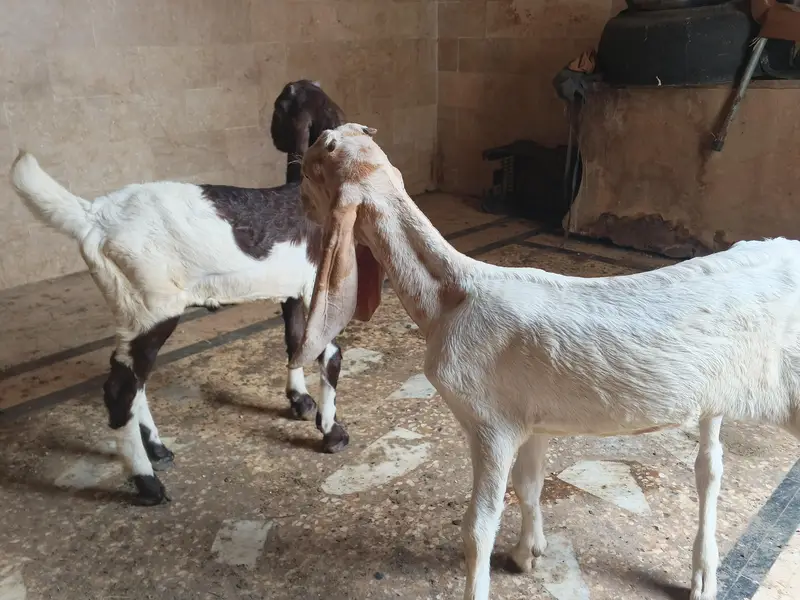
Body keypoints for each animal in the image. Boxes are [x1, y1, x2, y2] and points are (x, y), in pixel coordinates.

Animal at [8, 85, 351, 505]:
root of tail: (94, 216)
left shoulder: (293, 291)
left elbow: (295, 340)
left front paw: (300, 402)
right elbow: (330, 356)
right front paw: (332, 432)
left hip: (131, 307)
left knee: (132, 378)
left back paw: (156, 448)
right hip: (154, 306)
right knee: (121, 388)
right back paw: (147, 483)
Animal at [290, 123, 800, 600]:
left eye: (316, 166)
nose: (296, 194)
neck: (450, 298)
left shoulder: (490, 425)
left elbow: (478, 528)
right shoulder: (529, 417)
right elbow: (529, 484)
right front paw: (527, 552)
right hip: (717, 393)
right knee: (710, 468)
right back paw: (703, 573)